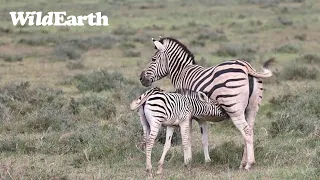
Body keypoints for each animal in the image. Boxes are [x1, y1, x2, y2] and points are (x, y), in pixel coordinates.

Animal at [139, 37, 274, 170]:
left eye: (153, 59)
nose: (141, 78)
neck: (181, 72)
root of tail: (246, 66)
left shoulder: (186, 112)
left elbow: (188, 137)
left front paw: (188, 161)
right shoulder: (200, 115)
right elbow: (204, 138)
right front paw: (207, 161)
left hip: (234, 108)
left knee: (246, 131)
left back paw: (249, 164)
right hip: (252, 108)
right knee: (249, 131)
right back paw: (243, 163)